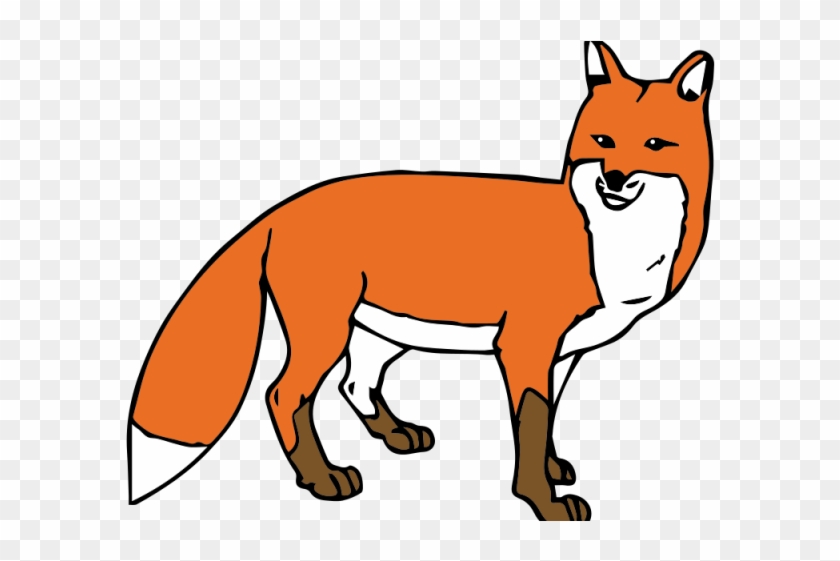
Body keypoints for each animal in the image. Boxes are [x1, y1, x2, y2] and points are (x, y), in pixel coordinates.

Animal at [127, 42, 714, 521]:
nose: (614, 178)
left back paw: (395, 434)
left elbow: (546, 423)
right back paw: (323, 479)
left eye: (655, 144)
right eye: (603, 140)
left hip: (381, 333)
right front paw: (541, 502)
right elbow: (529, 426)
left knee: (354, 383)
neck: (609, 245)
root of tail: (283, 207)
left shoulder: (564, 353)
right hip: (326, 332)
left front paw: (552, 470)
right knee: (284, 394)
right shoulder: (525, 345)